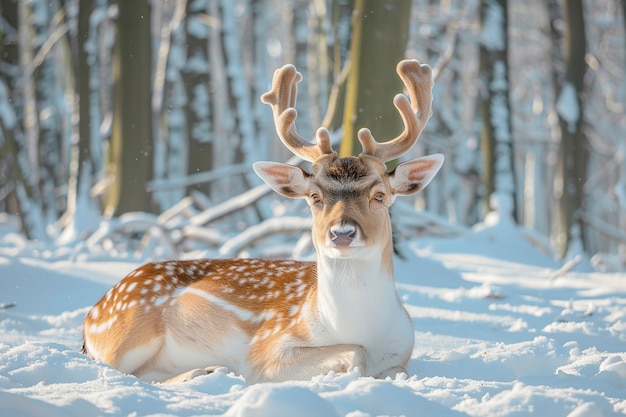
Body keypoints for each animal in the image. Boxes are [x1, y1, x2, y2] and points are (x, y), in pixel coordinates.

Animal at [81, 58, 444, 384]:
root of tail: (90, 319)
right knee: (124, 371)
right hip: (127, 331)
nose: (342, 233)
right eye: (314, 197)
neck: (360, 327)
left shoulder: (403, 351)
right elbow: (355, 352)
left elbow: (398, 370)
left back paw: (204, 370)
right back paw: (205, 371)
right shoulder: (268, 348)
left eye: (379, 195)